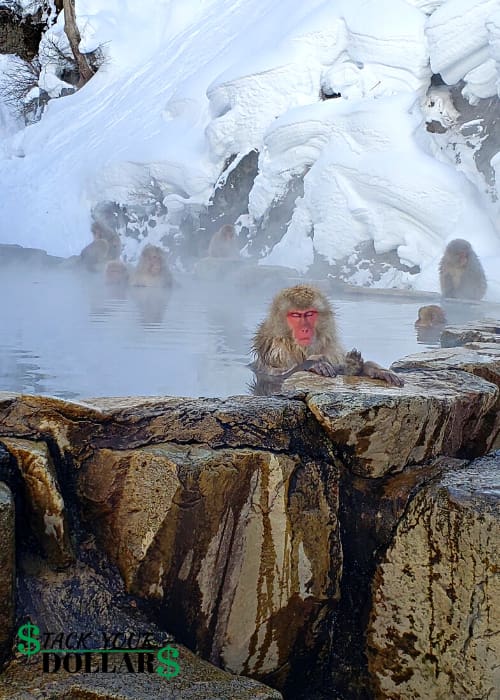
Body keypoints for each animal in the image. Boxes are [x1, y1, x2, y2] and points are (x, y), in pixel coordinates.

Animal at [250, 285, 404, 393]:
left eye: (309, 314)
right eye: (295, 315)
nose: (304, 329)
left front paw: (373, 369)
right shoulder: (276, 352)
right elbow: (273, 376)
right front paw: (313, 364)